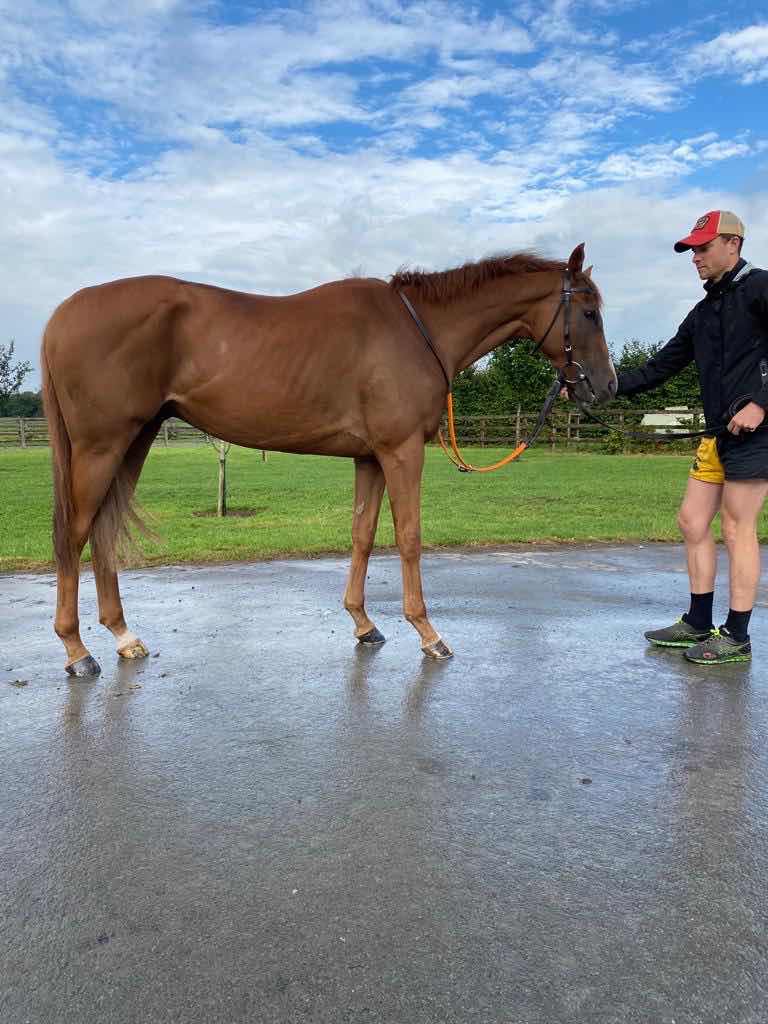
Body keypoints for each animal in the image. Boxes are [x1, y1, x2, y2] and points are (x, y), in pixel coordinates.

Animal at [41, 243, 616, 677]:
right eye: (589, 312)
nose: (606, 387)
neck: (418, 330)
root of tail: (63, 313)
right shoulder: (401, 451)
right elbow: (409, 535)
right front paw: (427, 632)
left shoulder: (370, 458)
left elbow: (363, 534)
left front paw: (364, 624)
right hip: (102, 445)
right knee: (74, 534)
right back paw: (77, 650)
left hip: (133, 441)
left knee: (103, 531)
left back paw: (123, 636)